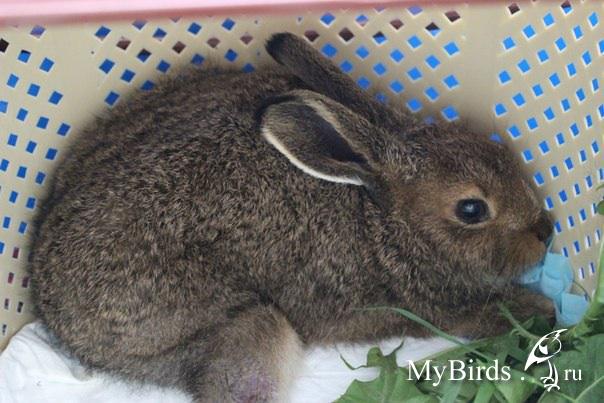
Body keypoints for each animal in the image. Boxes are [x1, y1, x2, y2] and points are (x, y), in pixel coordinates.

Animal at [29, 32, 554, 402]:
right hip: (247, 327)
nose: (546, 232)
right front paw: (539, 310)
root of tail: (55, 315)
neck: (379, 222)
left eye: (497, 150)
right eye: (471, 210)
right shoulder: (420, 309)